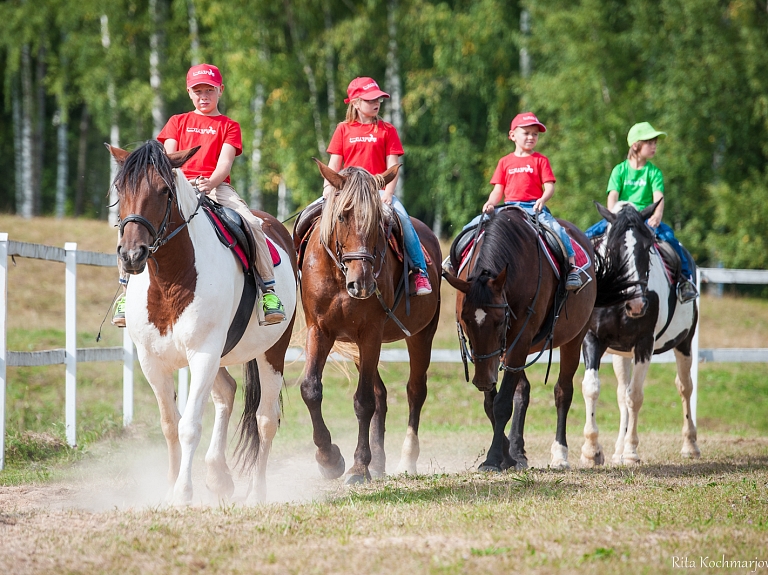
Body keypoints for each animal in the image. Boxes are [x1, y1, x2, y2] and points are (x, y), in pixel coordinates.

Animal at [108, 142, 296, 506]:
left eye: (165, 191)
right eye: (120, 189)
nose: (132, 255)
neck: (171, 280)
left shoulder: (204, 354)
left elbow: (189, 426)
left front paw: (183, 493)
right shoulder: (152, 362)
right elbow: (170, 424)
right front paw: (169, 488)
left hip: (271, 352)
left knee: (265, 418)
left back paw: (256, 492)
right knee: (227, 393)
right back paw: (218, 476)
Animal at [298, 160, 444, 484]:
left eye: (378, 220)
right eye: (342, 215)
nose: (362, 283)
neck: (339, 276)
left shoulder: (370, 334)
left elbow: (363, 402)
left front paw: (358, 467)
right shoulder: (320, 330)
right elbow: (311, 389)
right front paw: (329, 459)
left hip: (421, 335)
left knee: (415, 392)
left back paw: (406, 459)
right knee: (382, 395)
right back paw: (378, 461)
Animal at [440, 208, 632, 472]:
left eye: (499, 321)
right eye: (465, 320)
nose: (482, 380)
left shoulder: (519, 339)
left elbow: (501, 404)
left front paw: (493, 459)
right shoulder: (498, 353)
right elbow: (493, 402)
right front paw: (507, 455)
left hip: (574, 339)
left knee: (563, 392)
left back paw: (560, 454)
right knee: (522, 391)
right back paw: (517, 452)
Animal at [584, 202, 704, 468]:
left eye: (648, 248)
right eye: (612, 248)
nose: (637, 304)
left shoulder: (644, 344)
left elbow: (636, 397)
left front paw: (631, 452)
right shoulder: (592, 340)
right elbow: (593, 388)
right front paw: (592, 450)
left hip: (685, 343)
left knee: (685, 388)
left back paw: (690, 445)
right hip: (621, 354)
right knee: (622, 393)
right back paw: (617, 450)